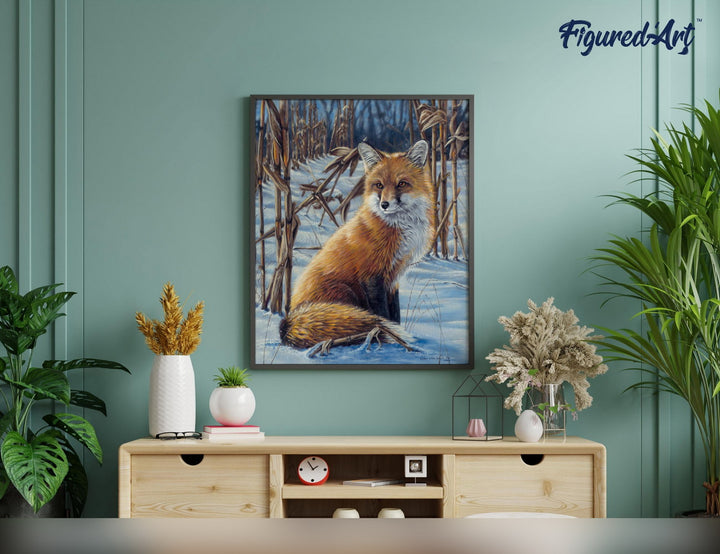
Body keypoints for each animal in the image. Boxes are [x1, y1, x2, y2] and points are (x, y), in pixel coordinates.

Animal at [279, 139, 435, 349]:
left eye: (402, 183)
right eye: (379, 185)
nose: (384, 205)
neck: (399, 227)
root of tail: (289, 320)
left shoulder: (393, 278)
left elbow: (395, 314)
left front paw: (397, 335)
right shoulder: (372, 276)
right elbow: (383, 314)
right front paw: (392, 337)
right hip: (345, 292)